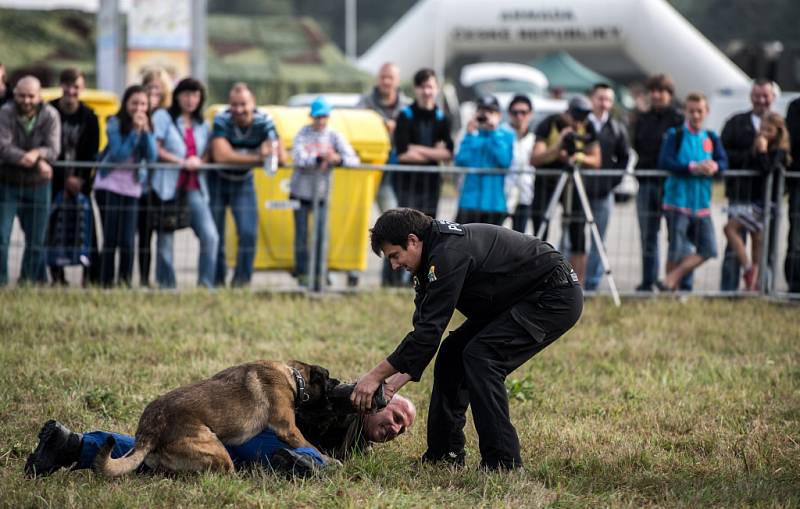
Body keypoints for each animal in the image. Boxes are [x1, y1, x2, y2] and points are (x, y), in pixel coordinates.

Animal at [94, 360, 334, 474]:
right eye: (329, 382)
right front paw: (331, 461)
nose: (339, 383)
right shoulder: (289, 430)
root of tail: (148, 432)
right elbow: (312, 446)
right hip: (216, 449)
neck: (293, 376)